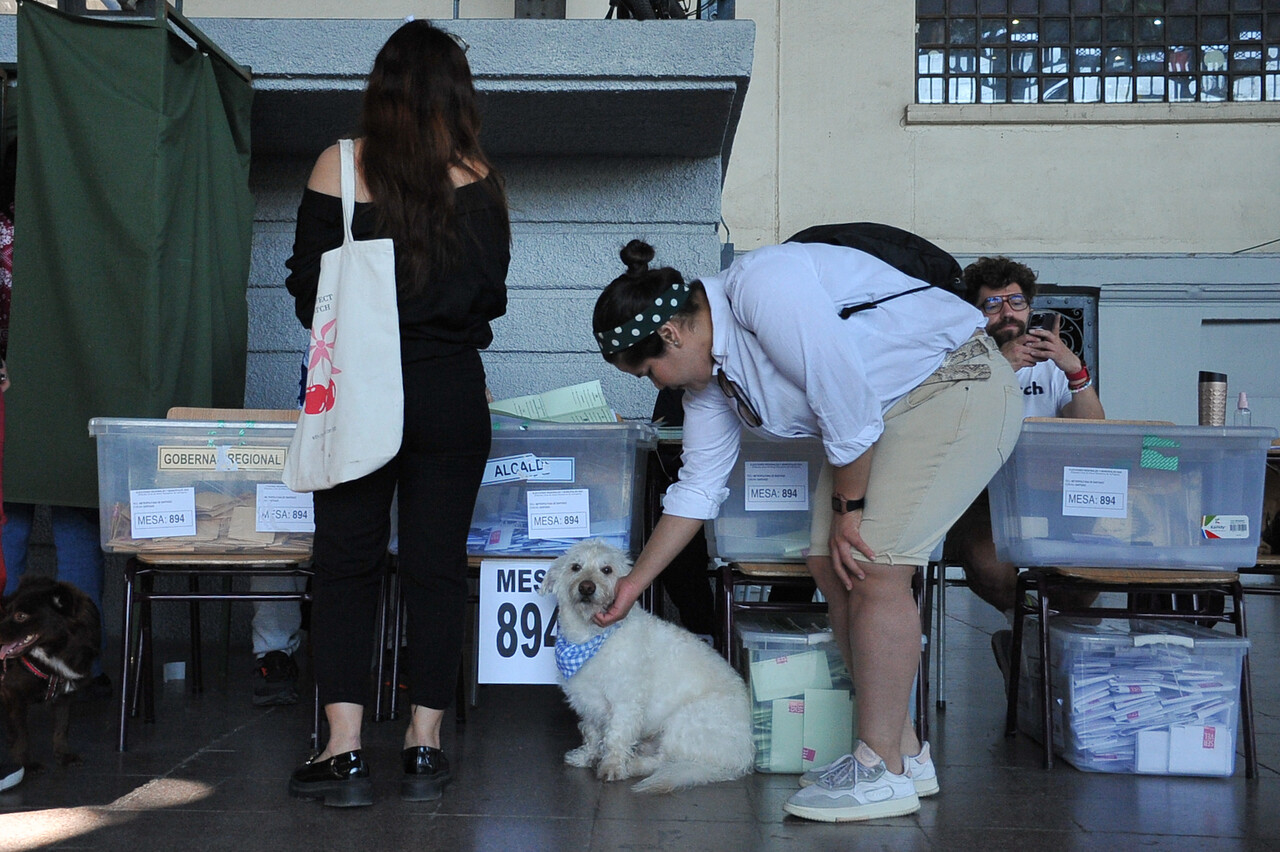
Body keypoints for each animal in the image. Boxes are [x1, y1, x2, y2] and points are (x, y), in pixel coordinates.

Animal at [0, 573, 101, 767]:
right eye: (6, 611)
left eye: (21, 615)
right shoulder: (14, 693)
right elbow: (22, 734)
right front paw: (25, 764)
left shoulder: (64, 694)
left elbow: (62, 726)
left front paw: (63, 755)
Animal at [537, 537, 752, 788]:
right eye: (575, 567)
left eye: (607, 569)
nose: (586, 587)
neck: (588, 637)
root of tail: (741, 760)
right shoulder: (588, 703)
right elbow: (591, 733)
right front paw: (586, 755)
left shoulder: (625, 703)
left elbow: (615, 738)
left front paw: (612, 766)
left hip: (683, 721)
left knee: (663, 760)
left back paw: (634, 765)